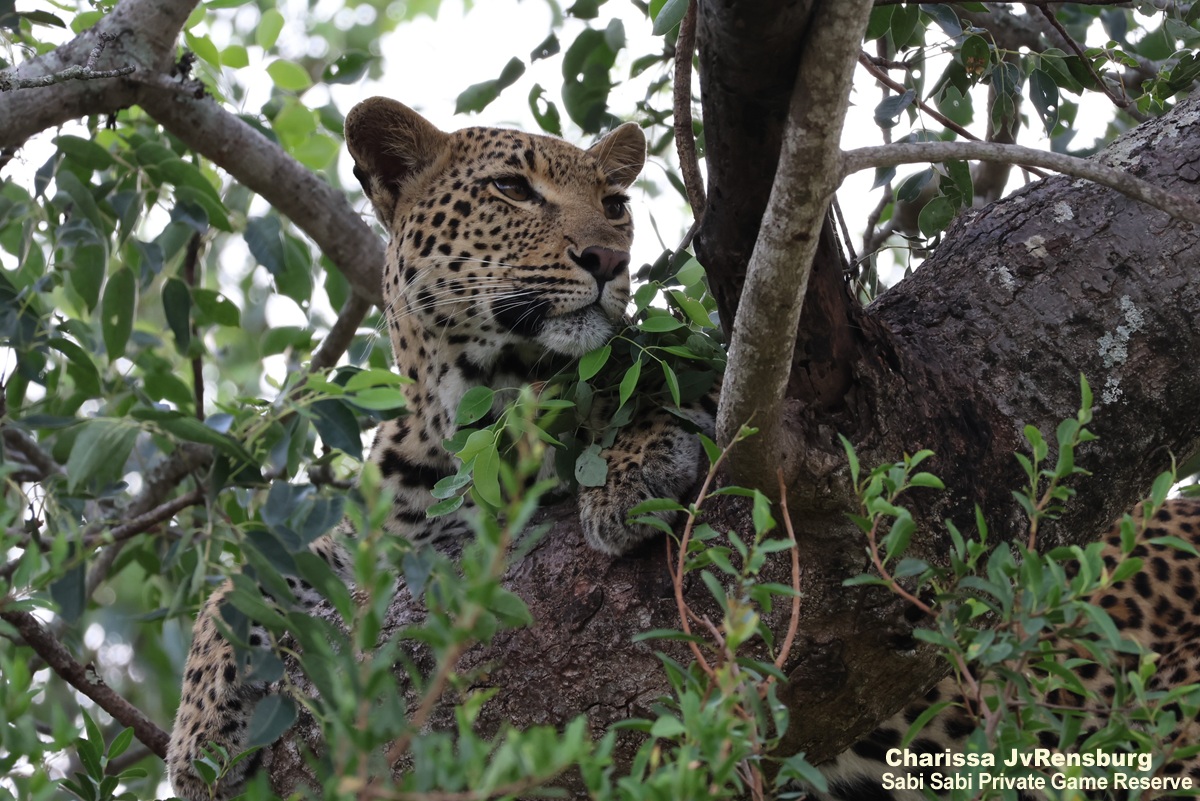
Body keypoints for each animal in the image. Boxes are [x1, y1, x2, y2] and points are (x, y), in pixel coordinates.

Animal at [166, 97, 710, 800]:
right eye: (512, 189)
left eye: (614, 204)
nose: (609, 259)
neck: (473, 404)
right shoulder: (376, 540)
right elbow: (235, 587)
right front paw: (196, 739)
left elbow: (675, 379)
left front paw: (630, 472)